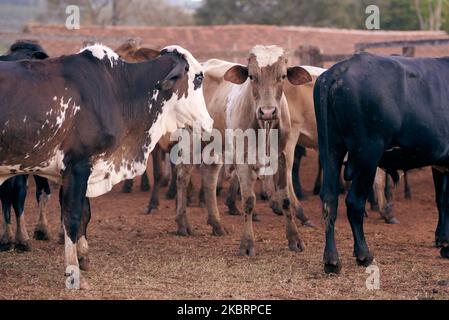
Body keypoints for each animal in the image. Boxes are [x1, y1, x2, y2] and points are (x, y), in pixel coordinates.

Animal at [0, 42, 213, 288]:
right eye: (199, 77)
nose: (210, 122)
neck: (118, 89)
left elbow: (85, 214)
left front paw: (83, 256)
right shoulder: (78, 167)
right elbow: (72, 217)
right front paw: (73, 272)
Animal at [314, 52, 448, 272]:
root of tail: (338, 70)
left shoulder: (440, 164)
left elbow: (441, 200)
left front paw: (443, 240)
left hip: (331, 150)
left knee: (329, 199)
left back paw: (331, 260)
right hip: (367, 155)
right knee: (354, 202)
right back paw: (363, 254)